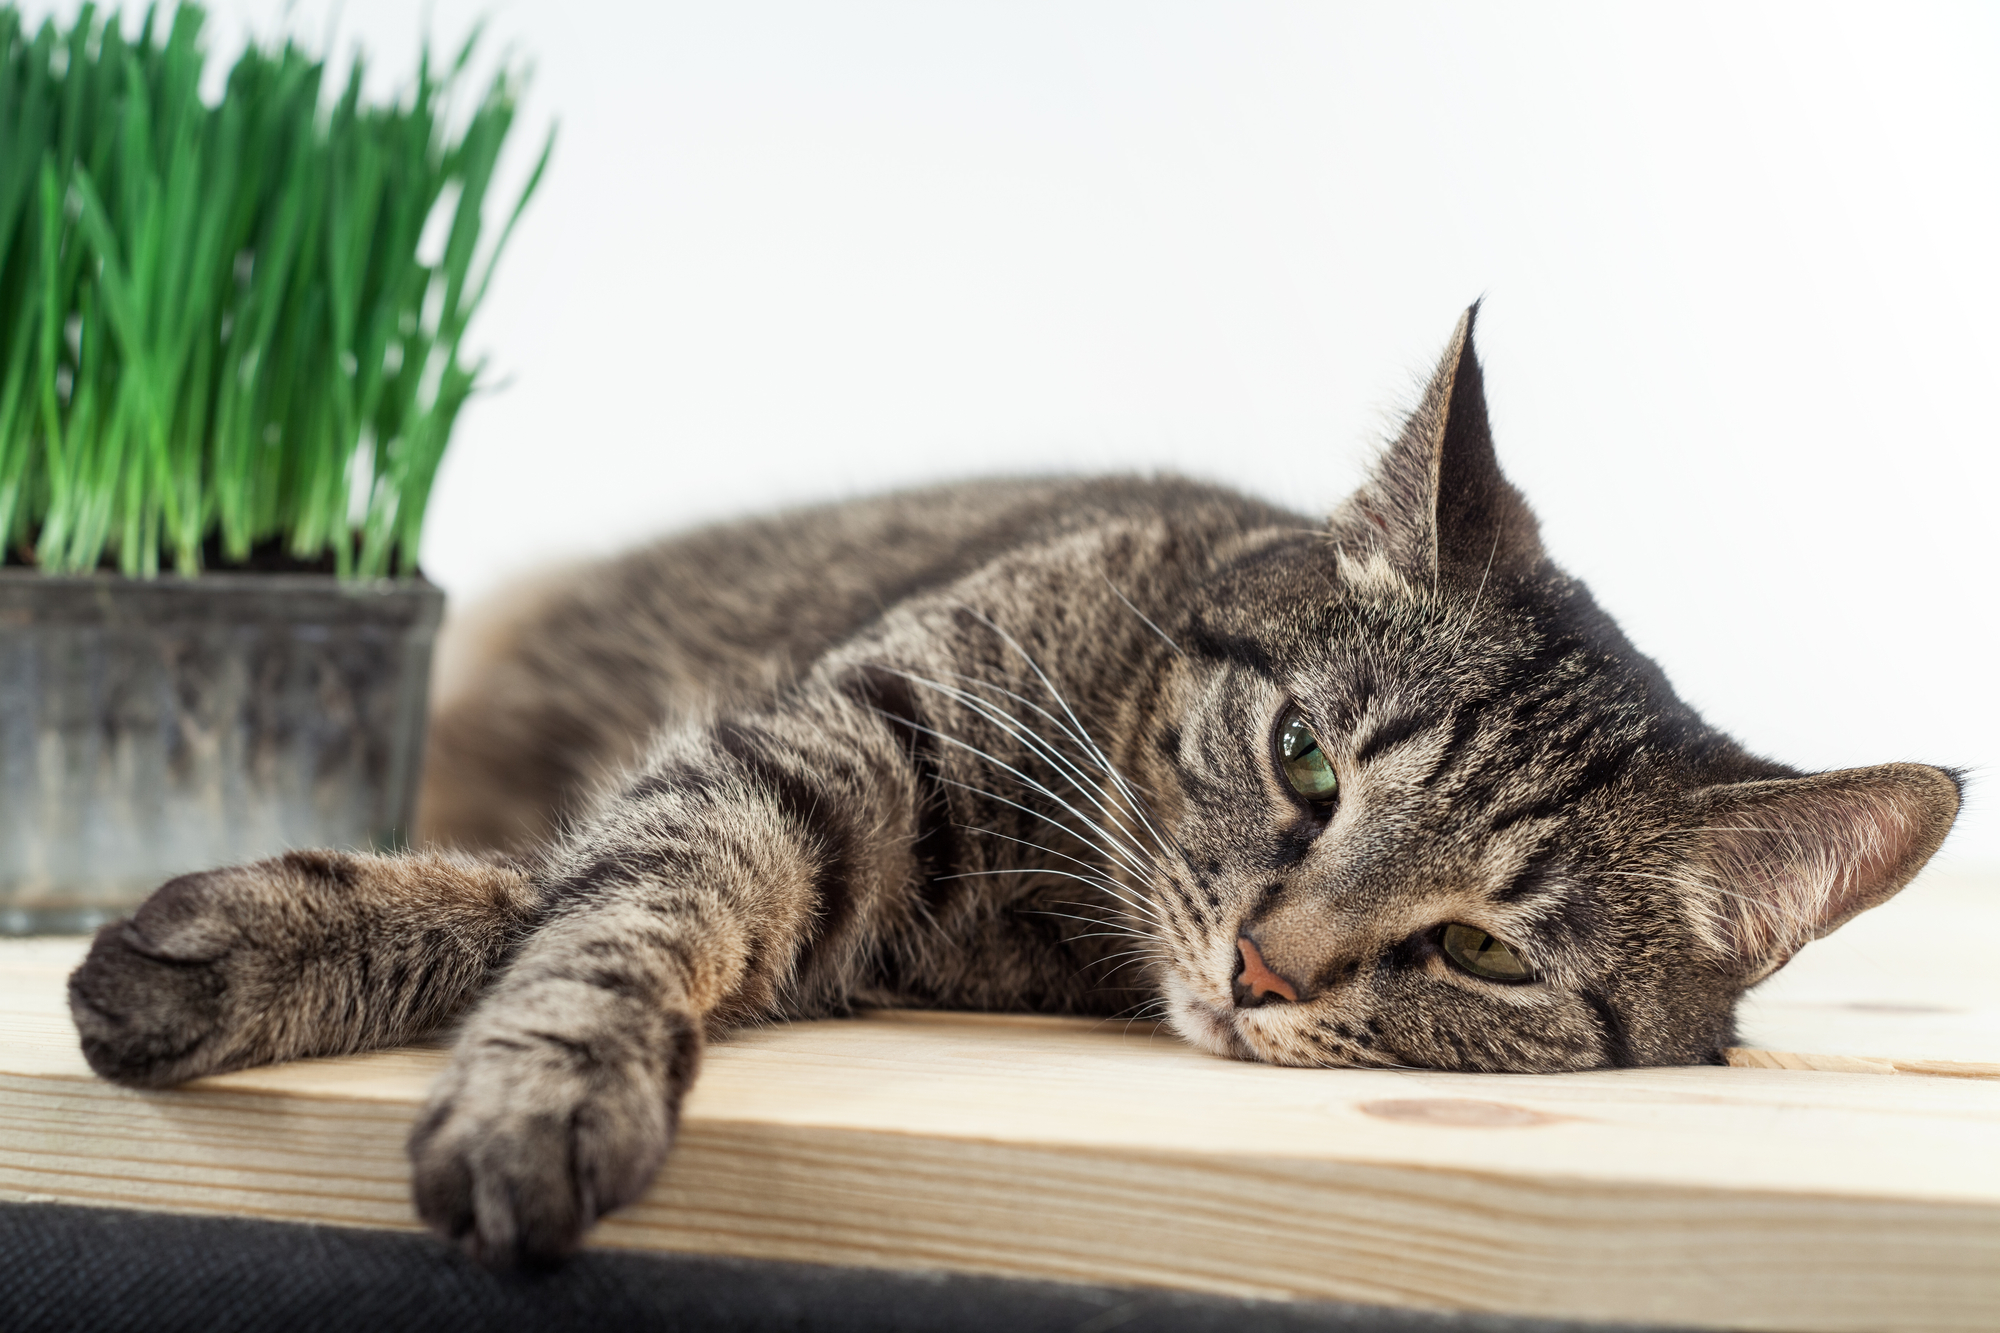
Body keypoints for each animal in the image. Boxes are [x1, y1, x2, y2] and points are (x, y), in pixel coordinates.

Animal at [62, 306, 1952, 1264]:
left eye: (1485, 954)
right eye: (1304, 759)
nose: (1263, 967)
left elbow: (552, 903)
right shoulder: (815, 747)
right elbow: (622, 900)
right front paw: (521, 1073)